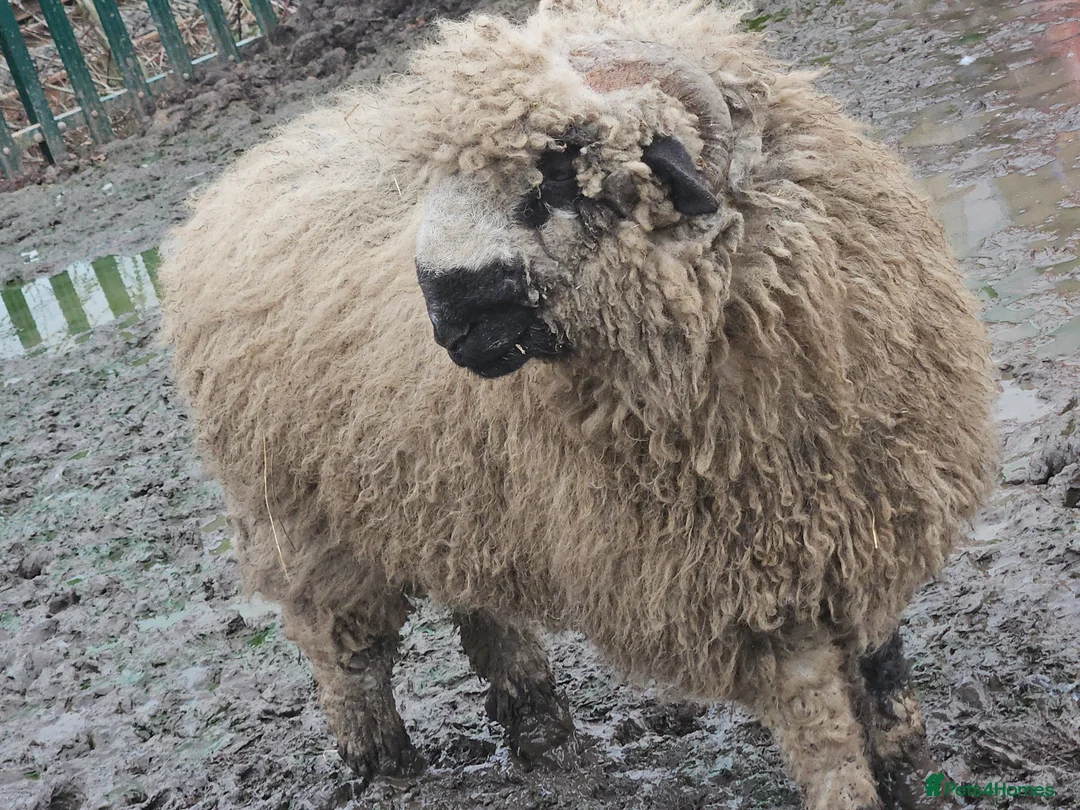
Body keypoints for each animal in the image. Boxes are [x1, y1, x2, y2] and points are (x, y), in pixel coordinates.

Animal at [158, 1, 998, 808]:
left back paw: (544, 736)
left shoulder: (862, 532)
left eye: (558, 175)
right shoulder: (745, 593)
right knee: (348, 655)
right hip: (303, 520)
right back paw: (383, 765)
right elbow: (822, 733)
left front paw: (918, 784)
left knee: (483, 612)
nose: (446, 322)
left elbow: (888, 690)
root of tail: (241, 173)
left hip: (446, 497)